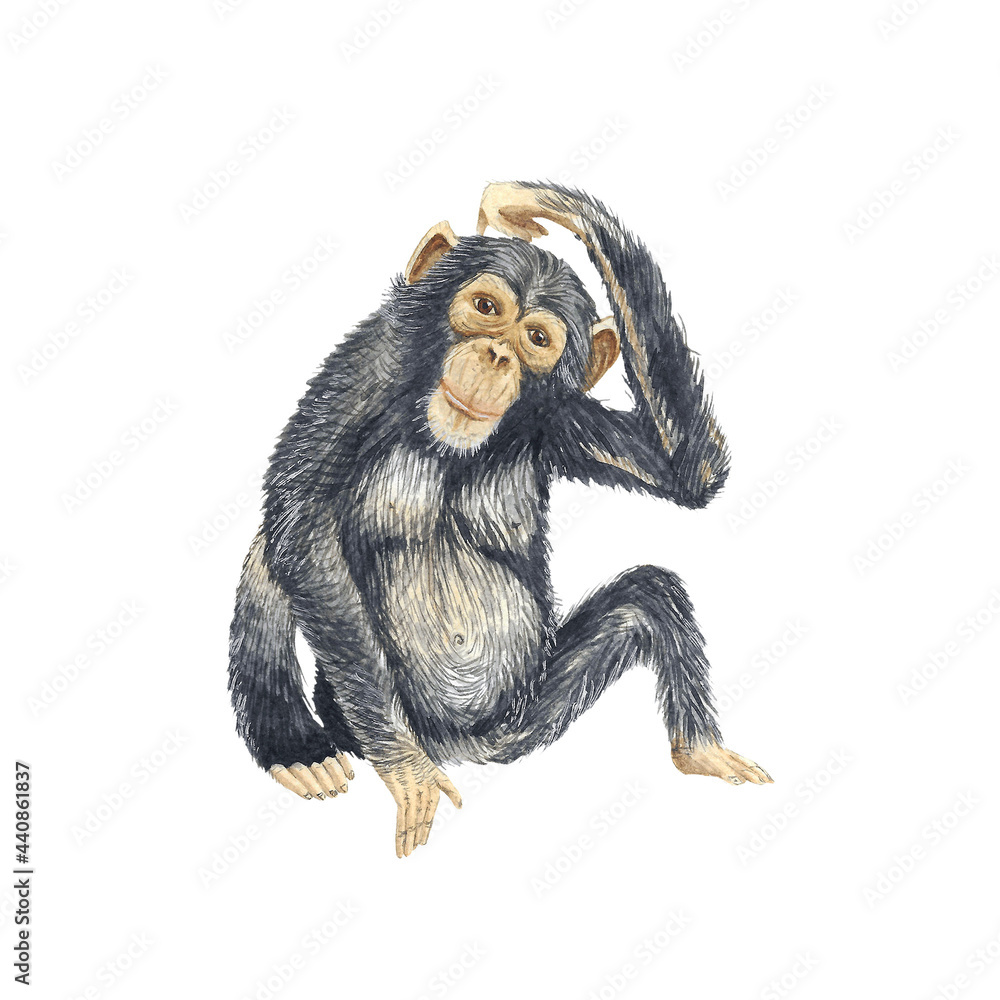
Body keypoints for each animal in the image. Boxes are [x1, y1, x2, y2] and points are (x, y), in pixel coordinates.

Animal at [229, 181, 772, 859]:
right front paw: (406, 769)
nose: (494, 354)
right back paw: (299, 750)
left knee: (651, 596)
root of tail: (466, 749)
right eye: (485, 307)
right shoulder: (360, 368)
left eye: (537, 340)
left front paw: (531, 202)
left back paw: (702, 752)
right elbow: (303, 522)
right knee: (273, 547)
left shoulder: (562, 419)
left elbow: (684, 471)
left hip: (533, 711)